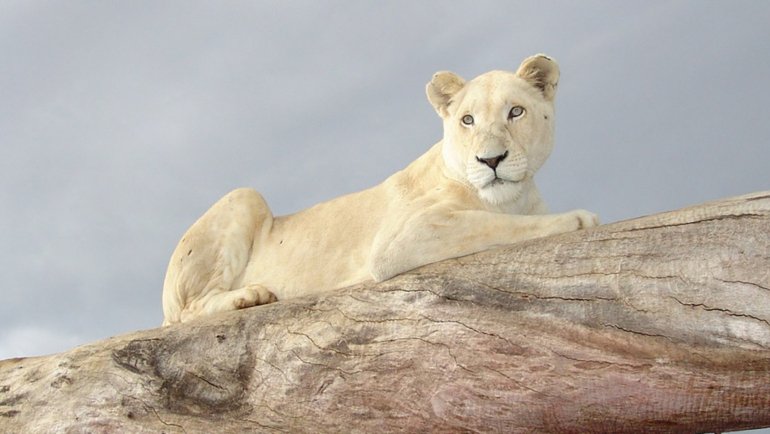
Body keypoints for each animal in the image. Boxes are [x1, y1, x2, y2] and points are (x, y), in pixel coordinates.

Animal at [159, 54, 596, 326]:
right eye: (468, 120)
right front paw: (578, 218)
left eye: (515, 112)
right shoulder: (400, 240)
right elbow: (498, 226)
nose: (491, 161)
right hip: (244, 195)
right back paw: (249, 296)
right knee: (187, 312)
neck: (512, 196)